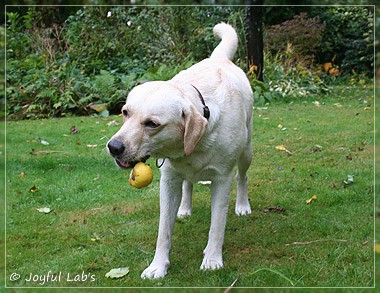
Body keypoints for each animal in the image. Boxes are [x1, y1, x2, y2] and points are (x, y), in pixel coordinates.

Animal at [107, 23, 252, 278]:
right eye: (125, 112)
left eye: (152, 124)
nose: (114, 147)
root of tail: (217, 58)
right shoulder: (168, 180)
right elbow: (164, 229)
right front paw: (158, 265)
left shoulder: (222, 178)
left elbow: (217, 224)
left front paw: (212, 259)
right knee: (188, 184)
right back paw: (184, 208)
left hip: (247, 152)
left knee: (242, 177)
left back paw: (242, 206)